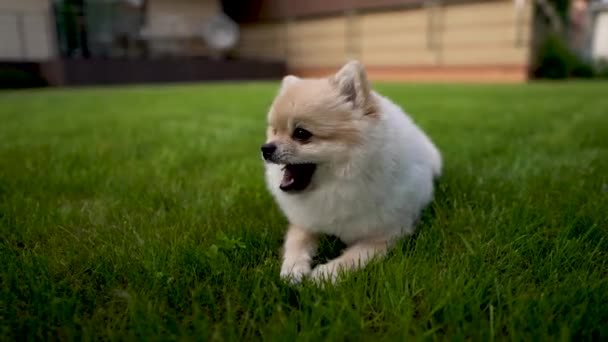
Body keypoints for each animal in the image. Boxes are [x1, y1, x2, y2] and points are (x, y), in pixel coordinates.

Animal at [262, 60, 442, 284]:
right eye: (274, 131)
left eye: (301, 134)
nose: (266, 148)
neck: (336, 186)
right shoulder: (305, 222)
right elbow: (296, 243)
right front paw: (293, 269)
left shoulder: (387, 234)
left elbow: (353, 257)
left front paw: (324, 274)